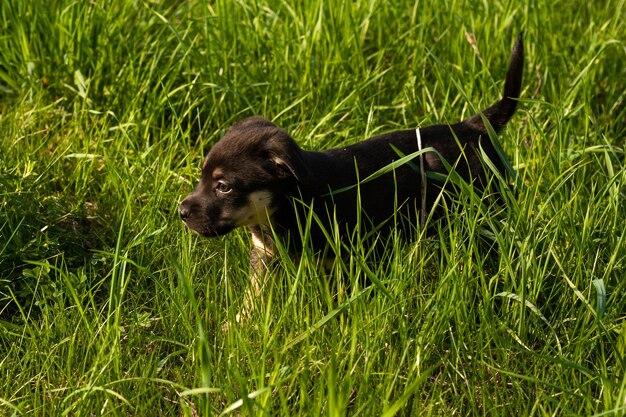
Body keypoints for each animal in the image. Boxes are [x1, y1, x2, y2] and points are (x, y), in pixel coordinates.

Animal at [179, 35, 520, 320]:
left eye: (224, 187)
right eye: (202, 177)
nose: (181, 212)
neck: (289, 205)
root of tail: (471, 126)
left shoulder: (344, 260)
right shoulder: (264, 255)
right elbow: (253, 296)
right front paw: (235, 327)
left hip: (487, 209)